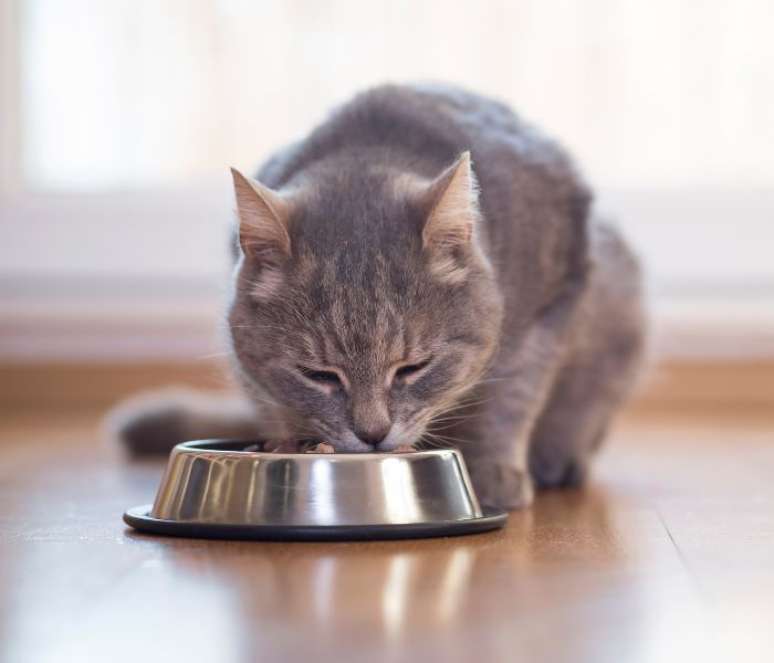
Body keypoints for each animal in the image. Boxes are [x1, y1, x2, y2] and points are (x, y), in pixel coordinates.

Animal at [116, 84, 648, 508]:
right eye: (318, 374)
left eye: (413, 368)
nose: (372, 434)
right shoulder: (247, 360)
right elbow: (272, 399)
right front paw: (289, 442)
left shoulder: (549, 305)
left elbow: (512, 395)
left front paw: (494, 471)